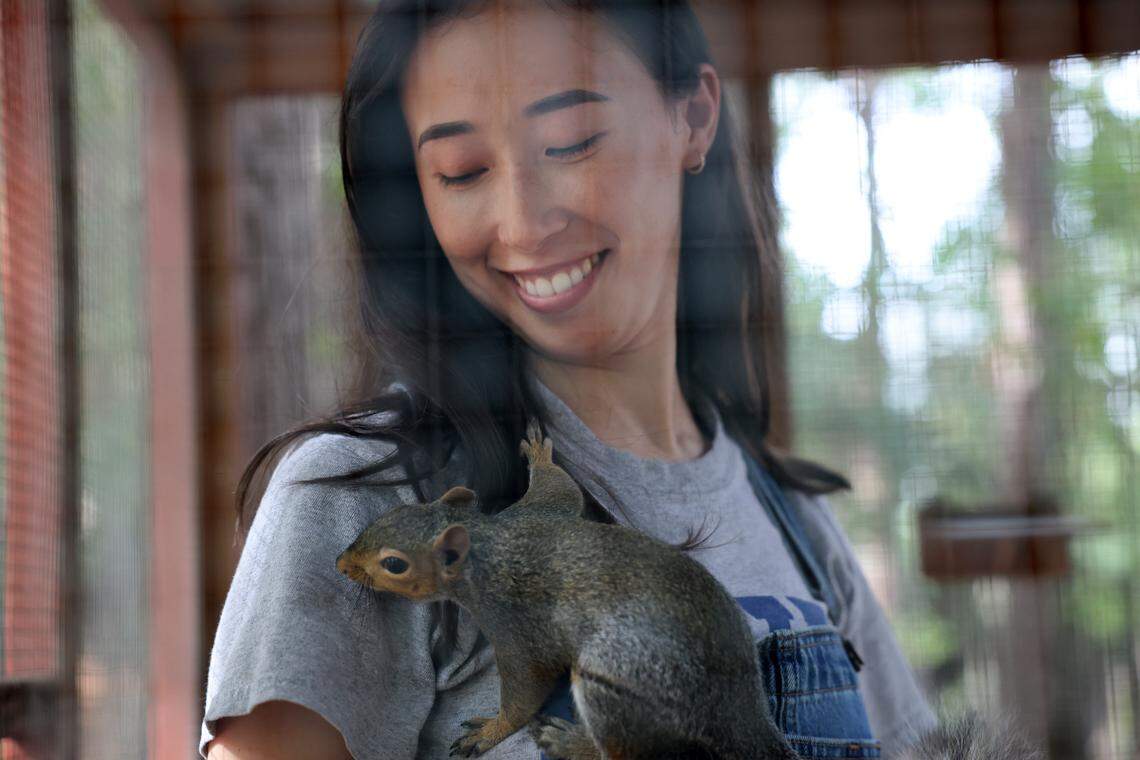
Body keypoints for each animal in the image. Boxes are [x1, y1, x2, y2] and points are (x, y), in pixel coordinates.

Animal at [336, 419, 802, 760]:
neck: (490, 543)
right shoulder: (541, 510)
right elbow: (561, 487)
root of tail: (736, 709)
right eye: (391, 515)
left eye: (394, 564)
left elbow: (526, 687)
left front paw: (490, 730)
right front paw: (540, 454)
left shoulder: (516, 626)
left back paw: (574, 744)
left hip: (620, 682)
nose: (342, 564)